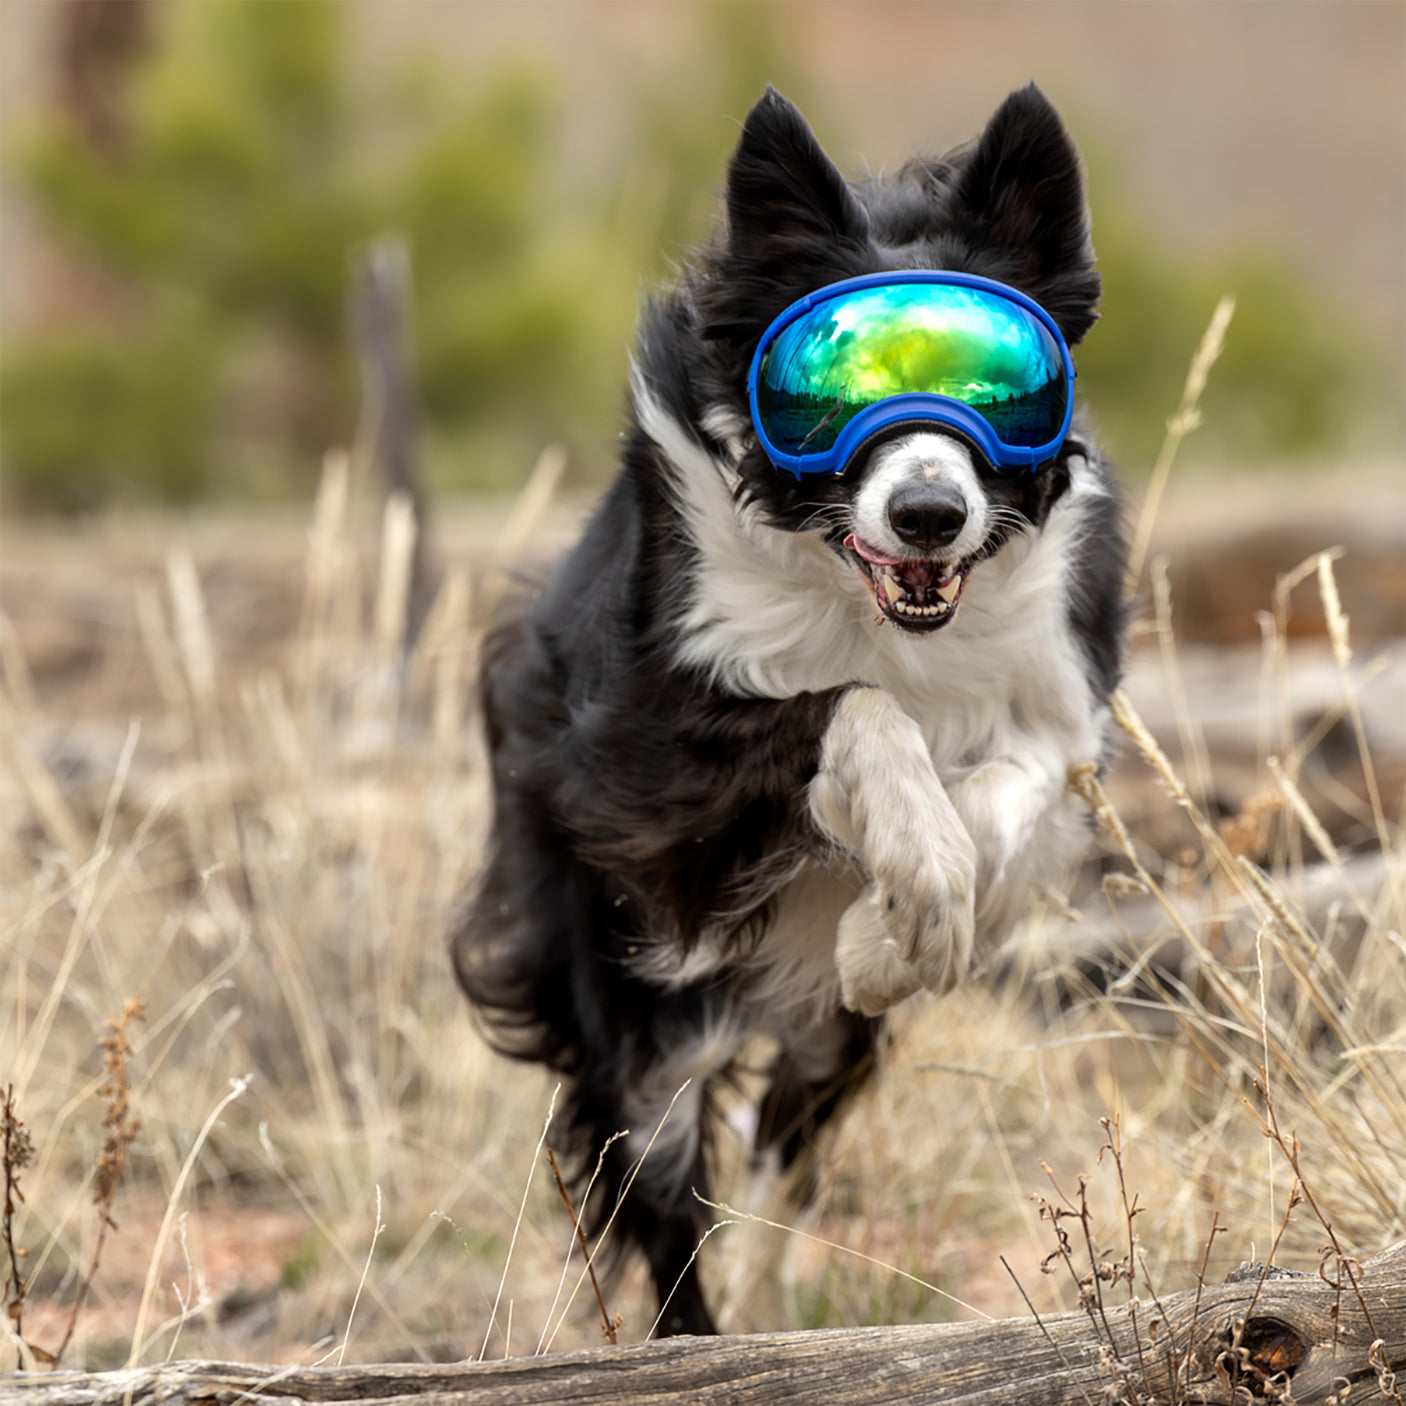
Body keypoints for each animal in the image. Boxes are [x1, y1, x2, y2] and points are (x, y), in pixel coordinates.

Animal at [455, 82, 1124, 1332]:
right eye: (829, 393)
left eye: (998, 385)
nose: (926, 514)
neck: (880, 606)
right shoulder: (644, 765)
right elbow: (849, 704)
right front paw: (909, 872)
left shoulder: (1059, 707)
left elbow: (1009, 783)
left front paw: (890, 927)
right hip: (635, 1006)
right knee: (664, 1189)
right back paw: (697, 1342)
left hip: (818, 1048)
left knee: (780, 1147)